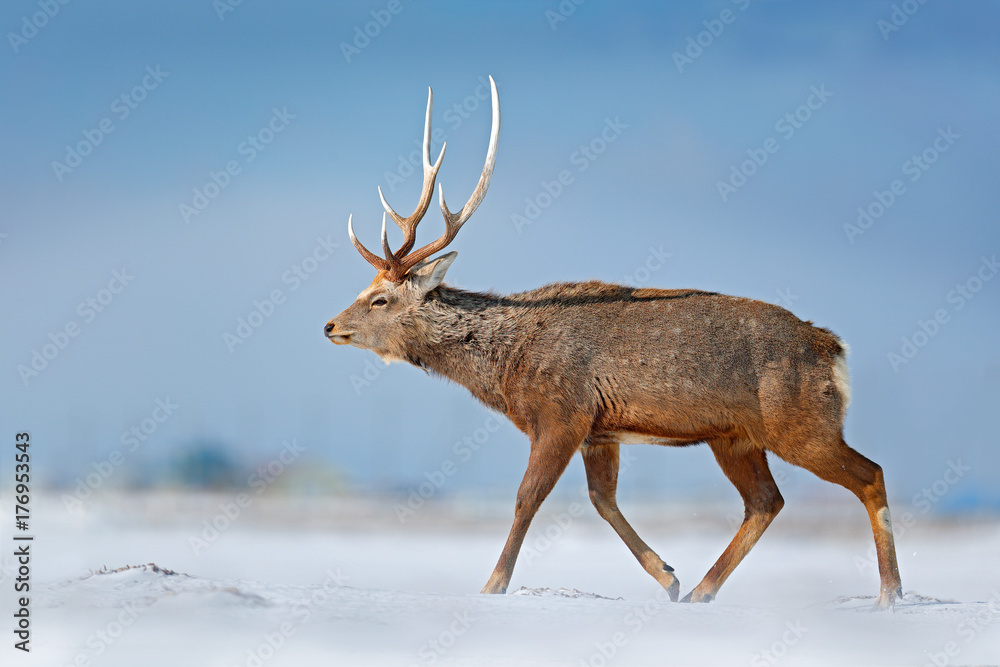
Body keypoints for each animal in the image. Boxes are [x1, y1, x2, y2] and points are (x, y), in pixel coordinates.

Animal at [324, 76, 903, 609]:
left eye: (380, 299)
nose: (329, 325)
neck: (507, 367)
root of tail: (832, 348)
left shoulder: (562, 411)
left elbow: (527, 498)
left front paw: (492, 586)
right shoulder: (599, 430)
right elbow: (602, 500)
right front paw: (667, 576)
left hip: (798, 421)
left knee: (868, 474)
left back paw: (889, 593)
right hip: (736, 435)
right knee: (766, 501)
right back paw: (701, 590)